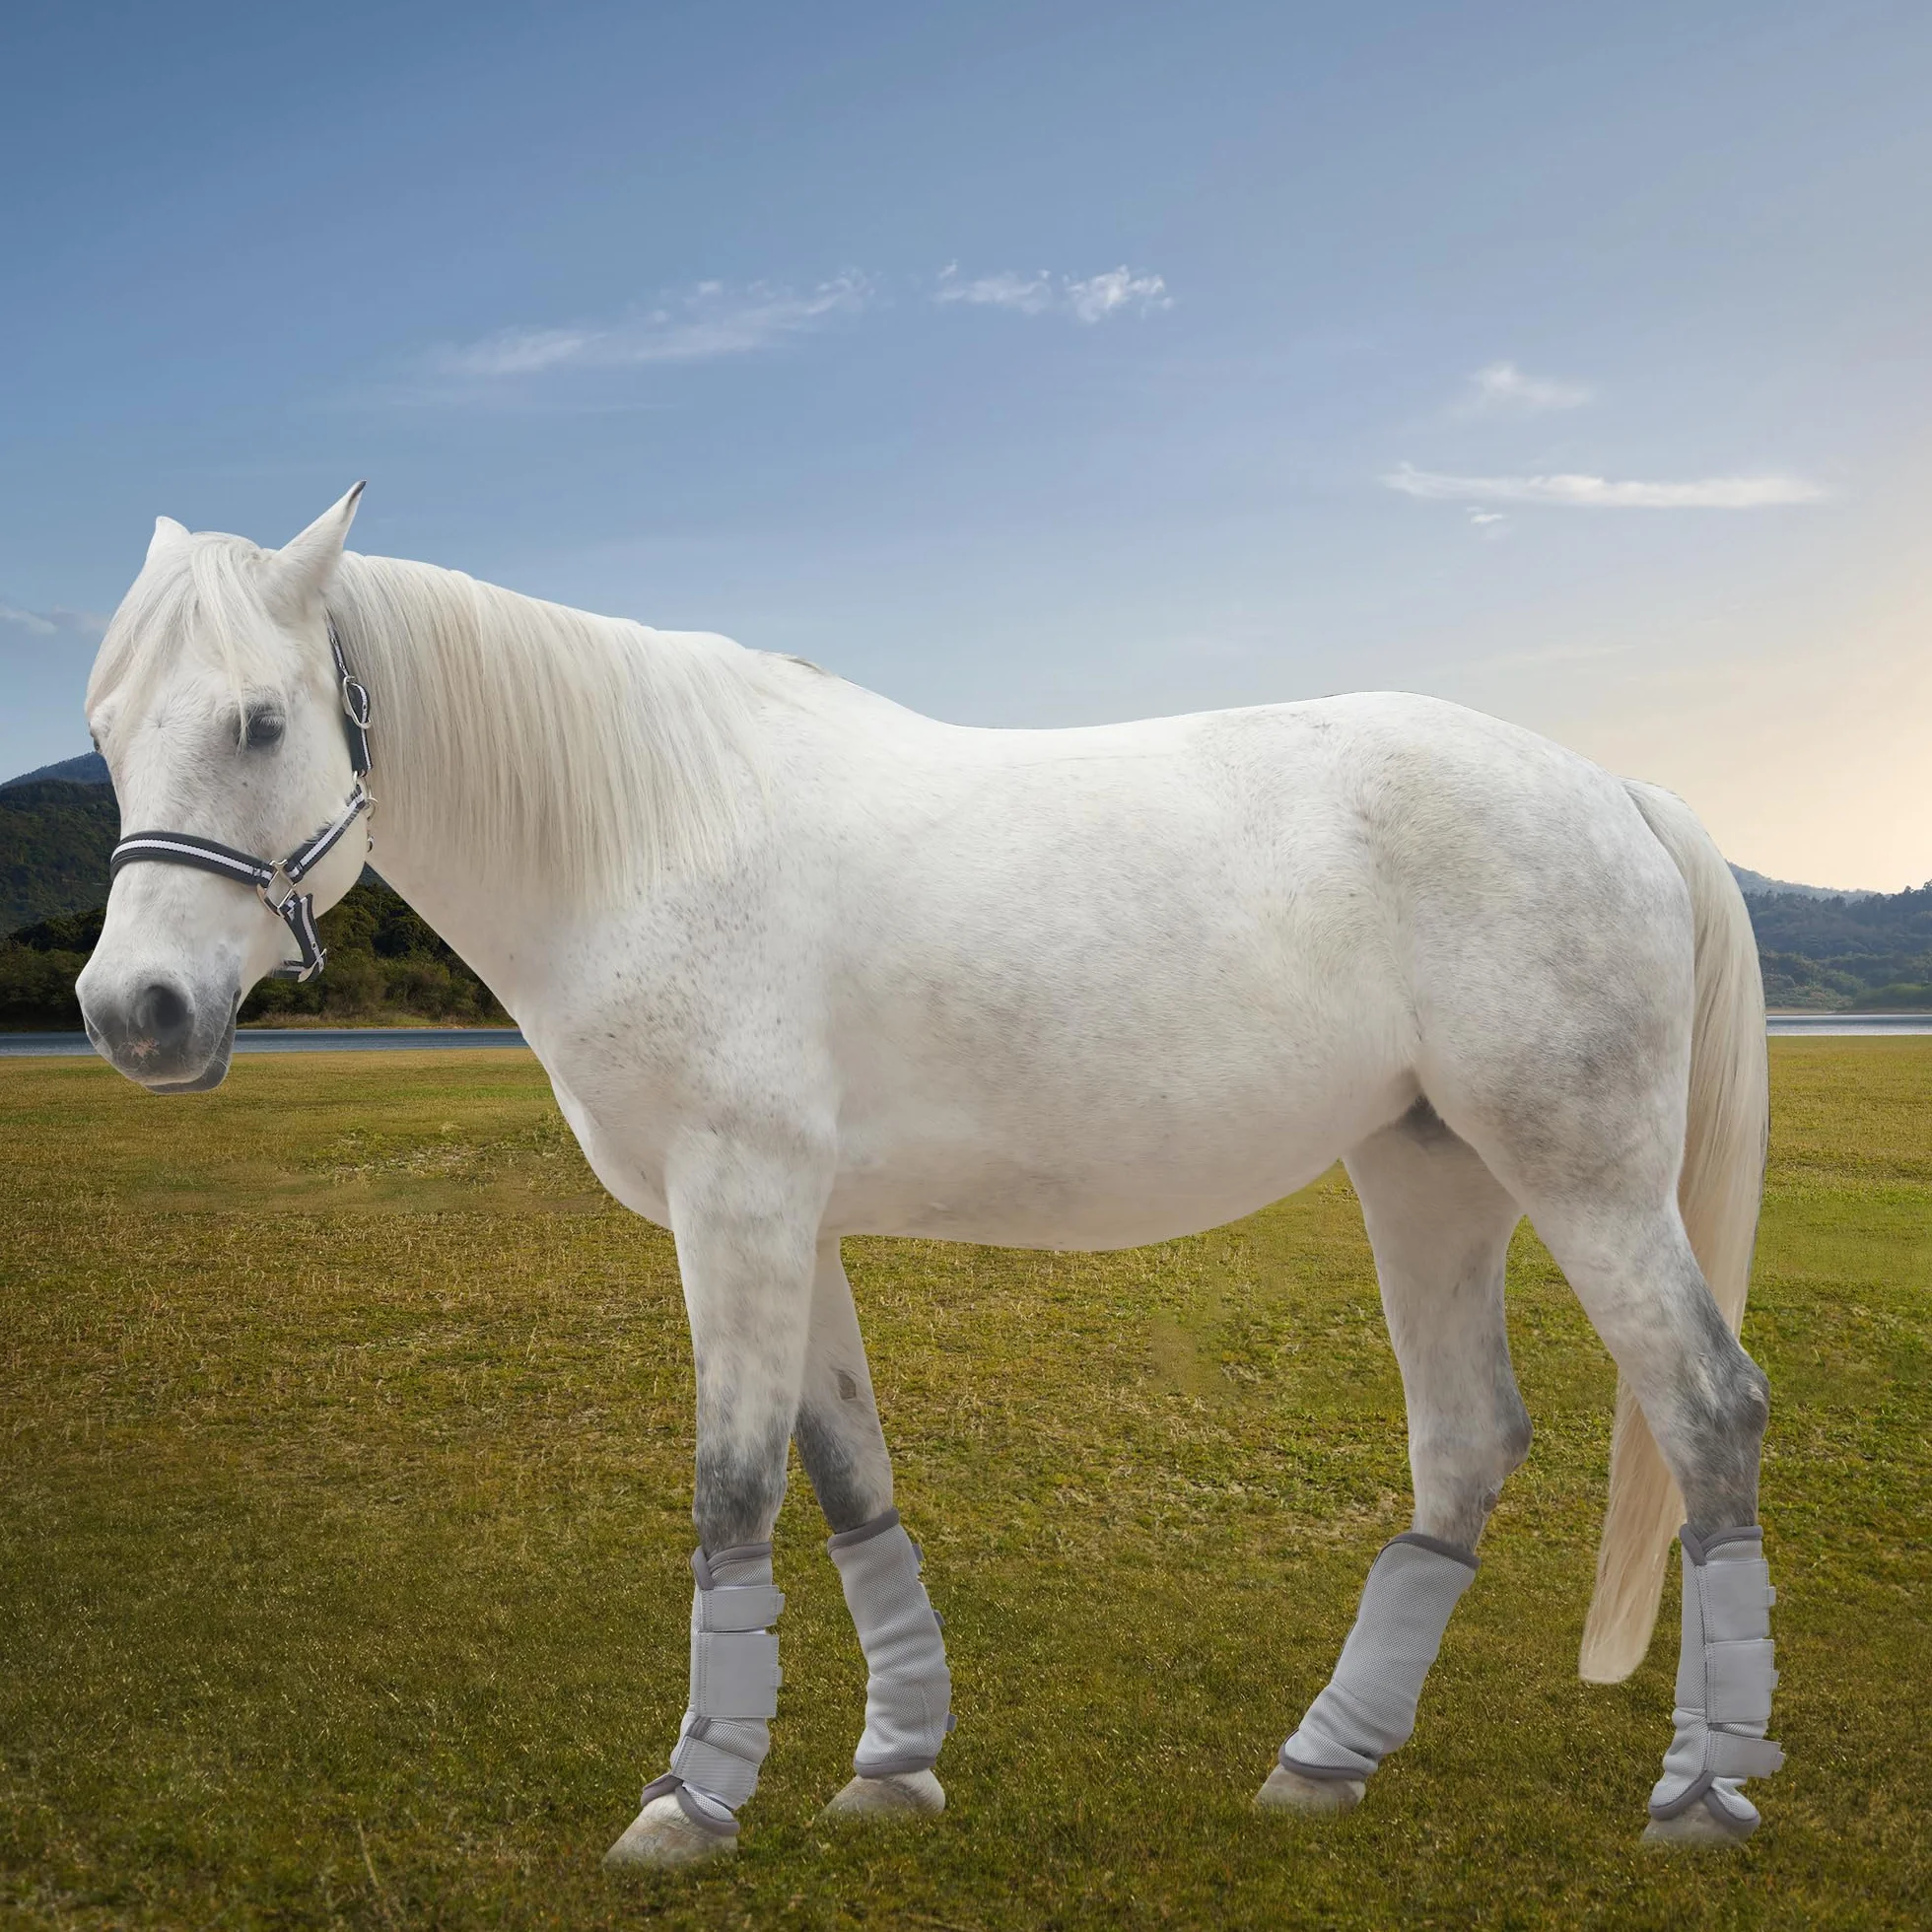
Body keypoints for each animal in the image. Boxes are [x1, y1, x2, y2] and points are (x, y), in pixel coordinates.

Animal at [76, 487, 1783, 1864]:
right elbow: (849, 1477)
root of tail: (1617, 791)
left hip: (1585, 1179)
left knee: (1709, 1413)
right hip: (1427, 1171)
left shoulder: (737, 1211)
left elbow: (734, 1486)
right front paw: (891, 1770)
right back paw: (1322, 1765)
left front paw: (691, 1803)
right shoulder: (792, 1224)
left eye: (260, 722)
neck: (651, 835)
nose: (131, 1012)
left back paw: (1703, 1797)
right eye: (100, 731)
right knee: (1468, 1441)